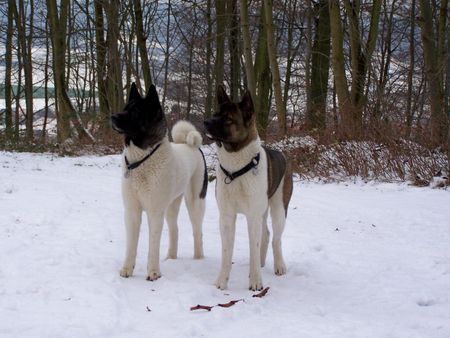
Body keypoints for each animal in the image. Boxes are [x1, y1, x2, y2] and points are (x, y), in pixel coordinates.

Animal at [205, 86, 296, 290]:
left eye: (228, 119)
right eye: (215, 114)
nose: (205, 122)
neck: (236, 170)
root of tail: (283, 155)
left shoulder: (252, 215)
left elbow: (253, 248)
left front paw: (255, 281)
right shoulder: (227, 216)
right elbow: (226, 251)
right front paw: (222, 281)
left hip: (279, 209)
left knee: (276, 238)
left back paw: (279, 265)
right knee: (266, 234)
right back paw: (262, 262)